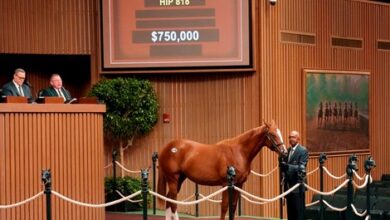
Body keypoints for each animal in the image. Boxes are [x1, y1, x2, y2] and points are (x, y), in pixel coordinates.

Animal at [157, 121, 288, 219]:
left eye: (279, 133)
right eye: (272, 134)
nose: (285, 152)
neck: (239, 151)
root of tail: (167, 147)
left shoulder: (239, 184)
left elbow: (233, 206)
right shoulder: (226, 184)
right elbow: (225, 206)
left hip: (180, 179)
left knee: (168, 200)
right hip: (173, 179)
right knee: (173, 203)